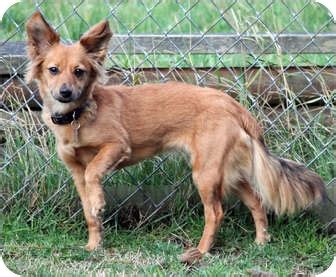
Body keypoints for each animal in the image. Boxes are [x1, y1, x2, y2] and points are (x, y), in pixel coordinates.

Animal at [25, 12, 326, 264]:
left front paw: (99, 203)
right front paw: (93, 245)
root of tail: (233, 105)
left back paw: (201, 252)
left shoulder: (116, 146)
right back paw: (261, 242)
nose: (65, 92)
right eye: (53, 70)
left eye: (79, 71)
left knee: (215, 213)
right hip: (229, 172)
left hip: (205, 173)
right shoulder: (76, 172)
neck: (78, 117)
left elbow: (94, 175)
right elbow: (88, 212)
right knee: (256, 202)